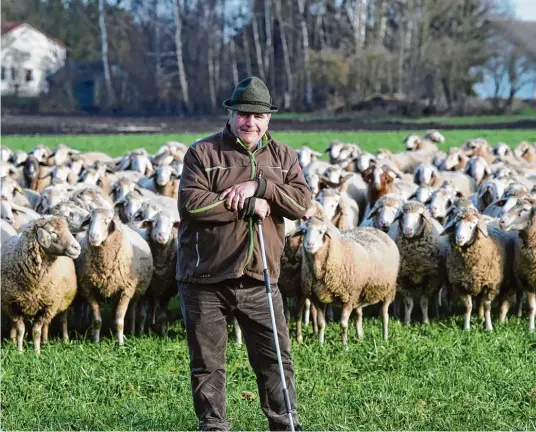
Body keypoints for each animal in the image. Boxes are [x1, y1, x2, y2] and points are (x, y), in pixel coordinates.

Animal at [0, 216, 80, 352]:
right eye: (52, 232)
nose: (77, 248)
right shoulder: (12, 305)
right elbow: (21, 329)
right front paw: (19, 351)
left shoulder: (47, 306)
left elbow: (36, 331)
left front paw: (36, 352)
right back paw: (14, 340)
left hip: (63, 300)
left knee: (62, 321)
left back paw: (60, 341)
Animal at [75, 208, 153, 346]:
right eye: (90, 220)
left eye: (107, 221)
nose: (93, 237)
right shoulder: (88, 290)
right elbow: (97, 320)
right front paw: (96, 342)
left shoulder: (126, 291)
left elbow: (119, 321)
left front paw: (120, 344)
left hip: (136, 292)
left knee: (131, 312)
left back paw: (131, 333)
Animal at [300, 218, 400, 346]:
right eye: (304, 231)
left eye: (321, 231)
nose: (309, 244)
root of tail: (374, 229)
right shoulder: (318, 299)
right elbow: (321, 324)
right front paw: (321, 345)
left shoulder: (348, 298)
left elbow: (343, 325)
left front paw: (344, 346)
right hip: (359, 293)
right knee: (358, 315)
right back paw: (360, 338)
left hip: (388, 290)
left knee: (384, 315)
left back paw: (385, 338)